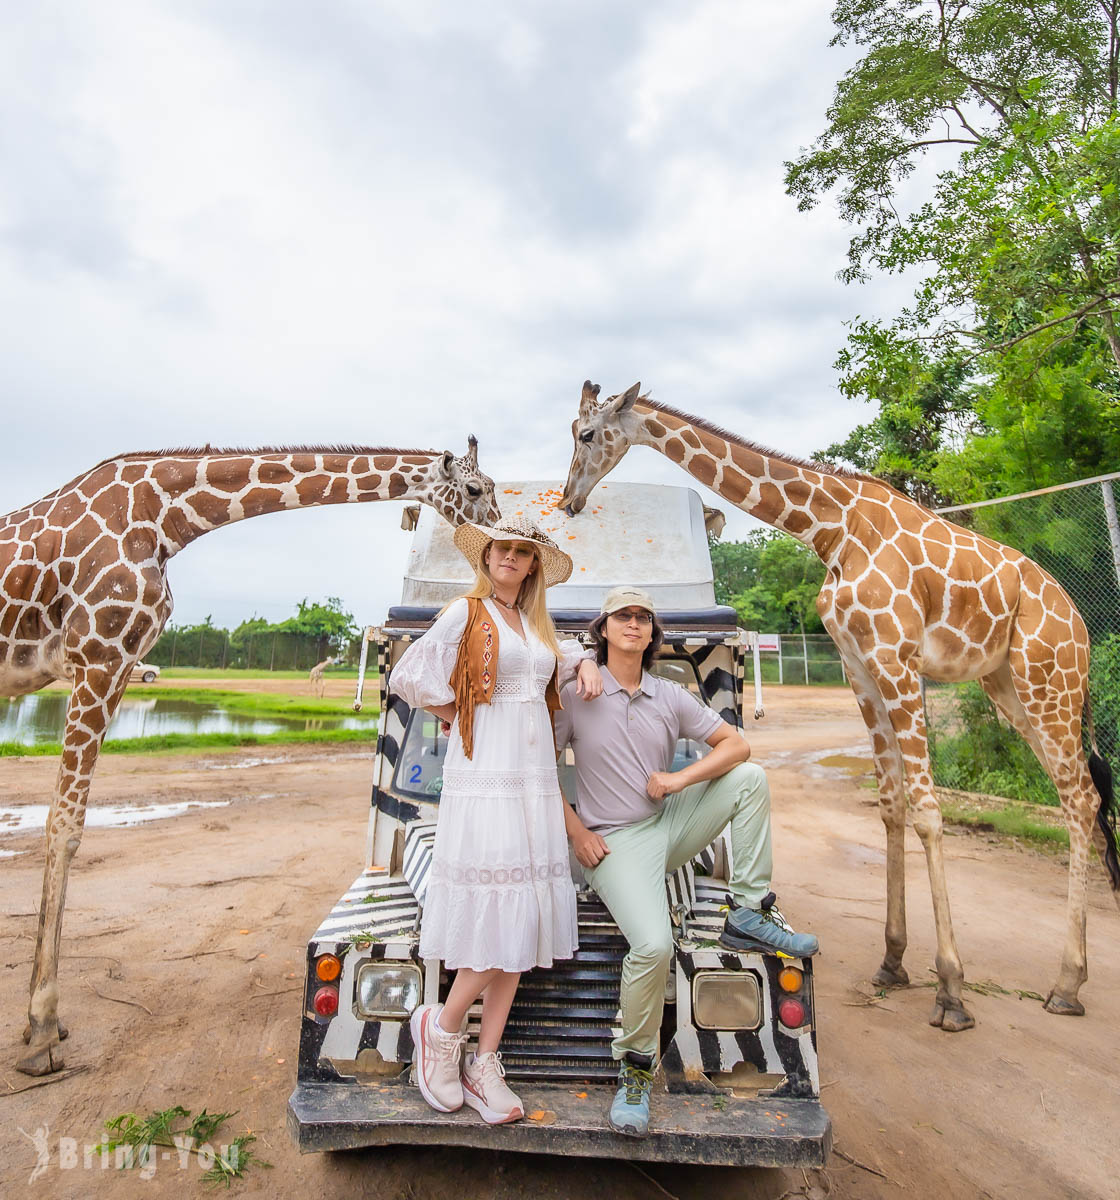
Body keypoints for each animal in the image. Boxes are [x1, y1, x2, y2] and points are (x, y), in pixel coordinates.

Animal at [0, 436, 499, 1075]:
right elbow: (64, 829)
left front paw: (44, 1023)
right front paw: (41, 1030)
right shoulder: (98, 658)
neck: (167, 518)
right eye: (475, 489)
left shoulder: (115, 667)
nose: (507, 533)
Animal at [559, 381, 1118, 1032]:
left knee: (1079, 799)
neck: (831, 525)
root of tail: (1077, 618)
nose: (569, 500)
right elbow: (892, 805)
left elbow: (929, 811)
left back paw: (1066, 984)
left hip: (1048, 679)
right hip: (1007, 686)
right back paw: (1069, 978)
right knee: (1082, 796)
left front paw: (951, 990)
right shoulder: (860, 666)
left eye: (588, 434)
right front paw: (893, 961)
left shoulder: (896, 656)